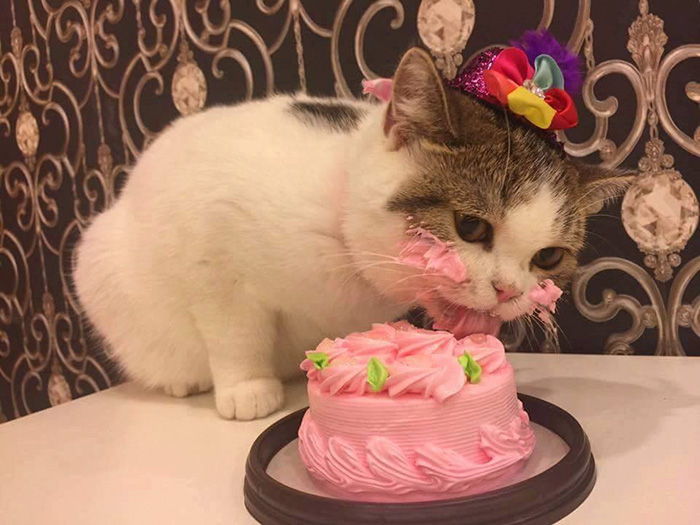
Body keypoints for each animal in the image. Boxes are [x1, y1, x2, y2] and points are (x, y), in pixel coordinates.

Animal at [74, 48, 632, 418]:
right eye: (470, 226)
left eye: (548, 258)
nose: (507, 291)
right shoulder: (212, 253)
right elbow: (234, 331)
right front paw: (246, 388)